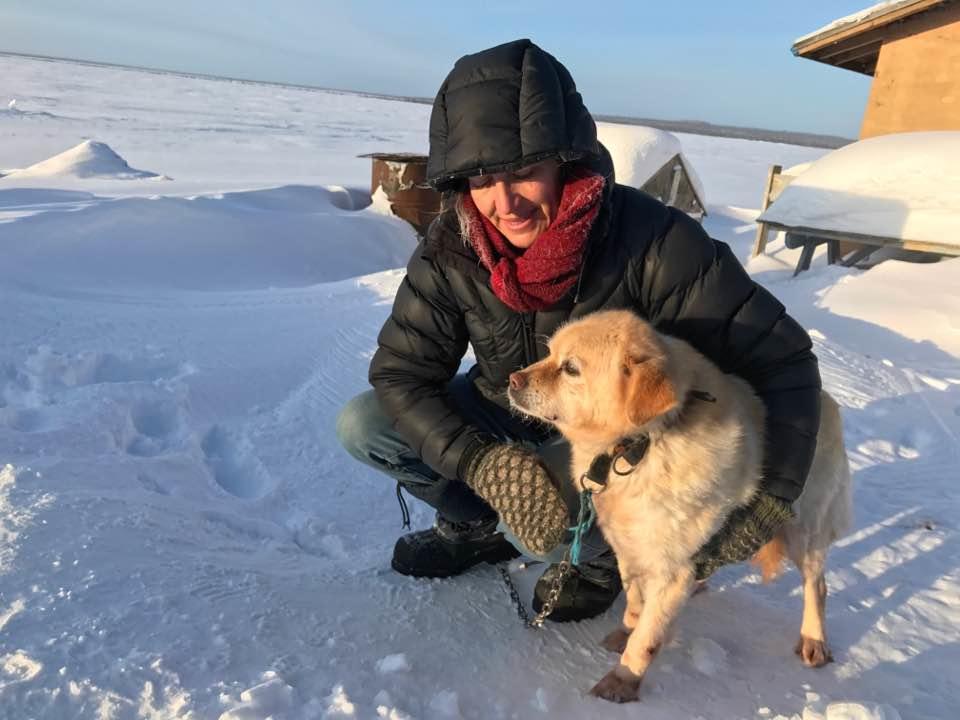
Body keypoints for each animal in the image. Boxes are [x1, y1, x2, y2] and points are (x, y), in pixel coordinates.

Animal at [506, 310, 852, 704]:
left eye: (571, 368)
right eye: (550, 354)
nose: (512, 379)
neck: (640, 446)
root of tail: (826, 400)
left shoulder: (671, 570)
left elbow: (646, 639)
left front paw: (622, 682)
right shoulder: (631, 551)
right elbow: (636, 606)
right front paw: (626, 631)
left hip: (802, 531)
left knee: (817, 585)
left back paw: (814, 639)